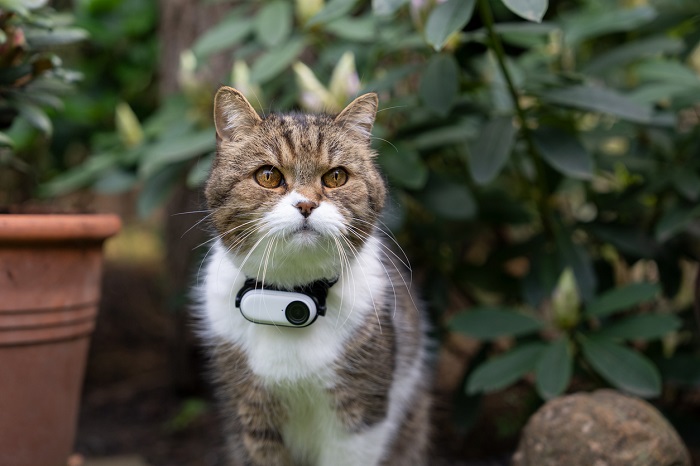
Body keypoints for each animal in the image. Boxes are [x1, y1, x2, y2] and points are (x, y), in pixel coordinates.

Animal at [198, 87, 432, 466]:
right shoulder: (252, 416)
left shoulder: (359, 417)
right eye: (268, 176)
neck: (289, 297)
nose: (306, 204)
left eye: (336, 177)